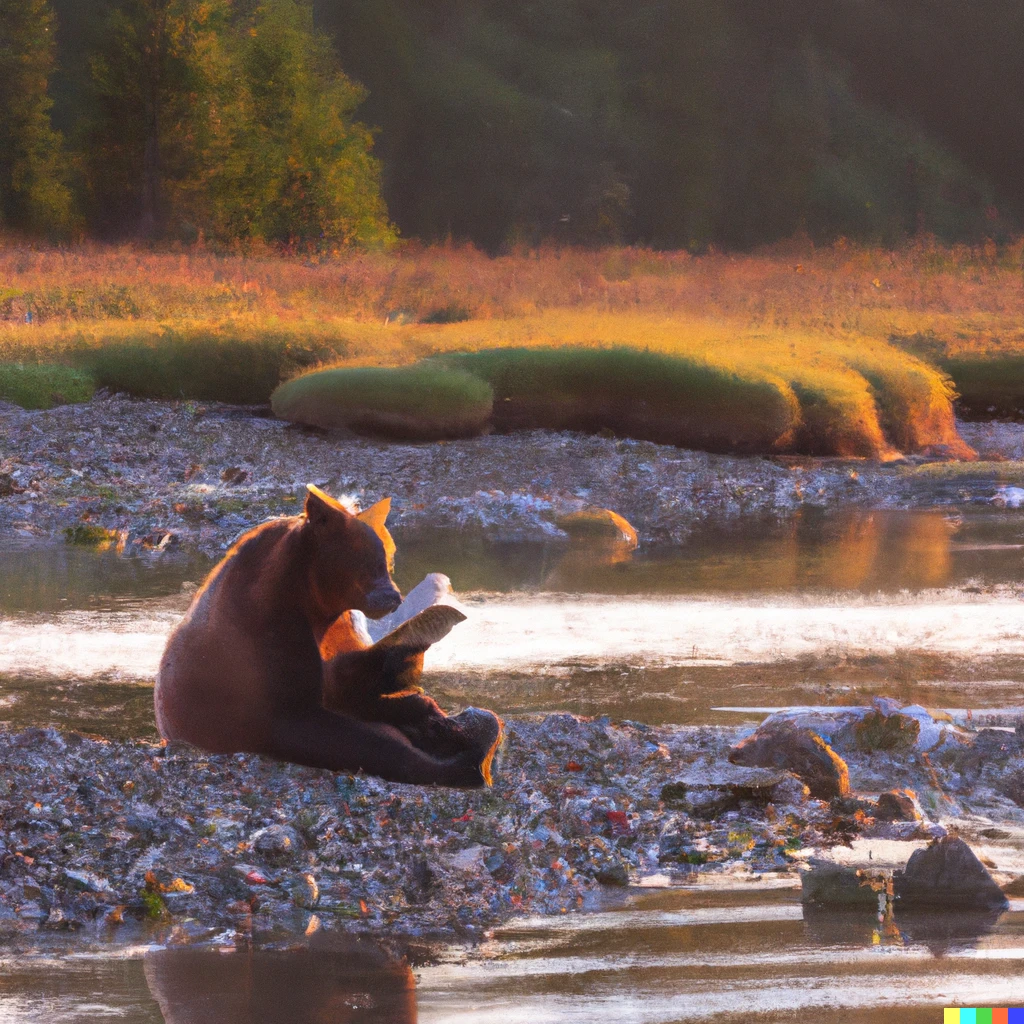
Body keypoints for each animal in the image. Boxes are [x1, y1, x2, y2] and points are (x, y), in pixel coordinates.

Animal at [152, 485, 499, 782]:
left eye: (387, 558)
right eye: (367, 559)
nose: (393, 596)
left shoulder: (336, 636)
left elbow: (355, 683)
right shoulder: (272, 680)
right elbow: (362, 736)